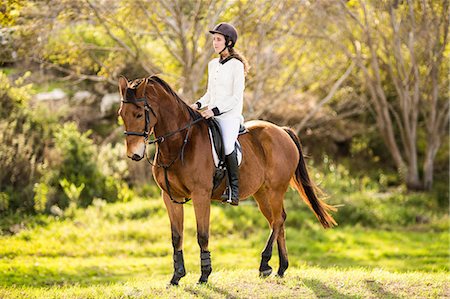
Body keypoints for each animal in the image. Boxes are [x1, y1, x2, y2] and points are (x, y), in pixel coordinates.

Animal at [118, 75, 336, 286]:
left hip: (275, 190)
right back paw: (281, 268)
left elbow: (202, 235)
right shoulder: (170, 197)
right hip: (261, 194)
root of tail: (282, 131)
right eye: (121, 114)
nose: (134, 154)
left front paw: (204, 276)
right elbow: (176, 236)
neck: (179, 143)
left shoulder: (201, 195)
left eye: (139, 114)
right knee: (277, 221)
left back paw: (264, 263)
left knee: (278, 220)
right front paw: (176, 277)